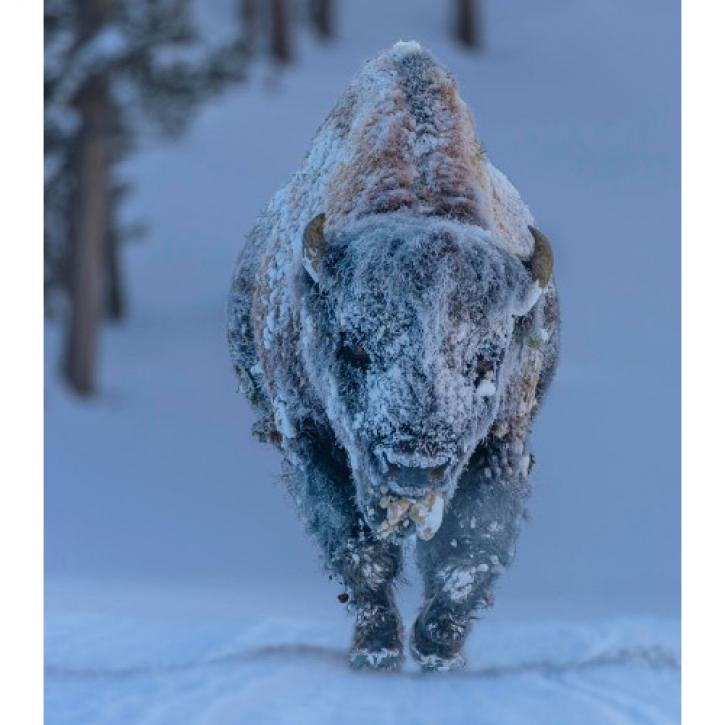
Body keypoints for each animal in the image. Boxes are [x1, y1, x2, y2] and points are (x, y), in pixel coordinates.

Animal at [226, 42, 560, 672]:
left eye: (486, 359)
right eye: (354, 346)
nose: (413, 465)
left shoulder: (502, 440)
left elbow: (467, 550)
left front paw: (437, 650)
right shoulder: (309, 436)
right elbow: (357, 550)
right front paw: (376, 649)